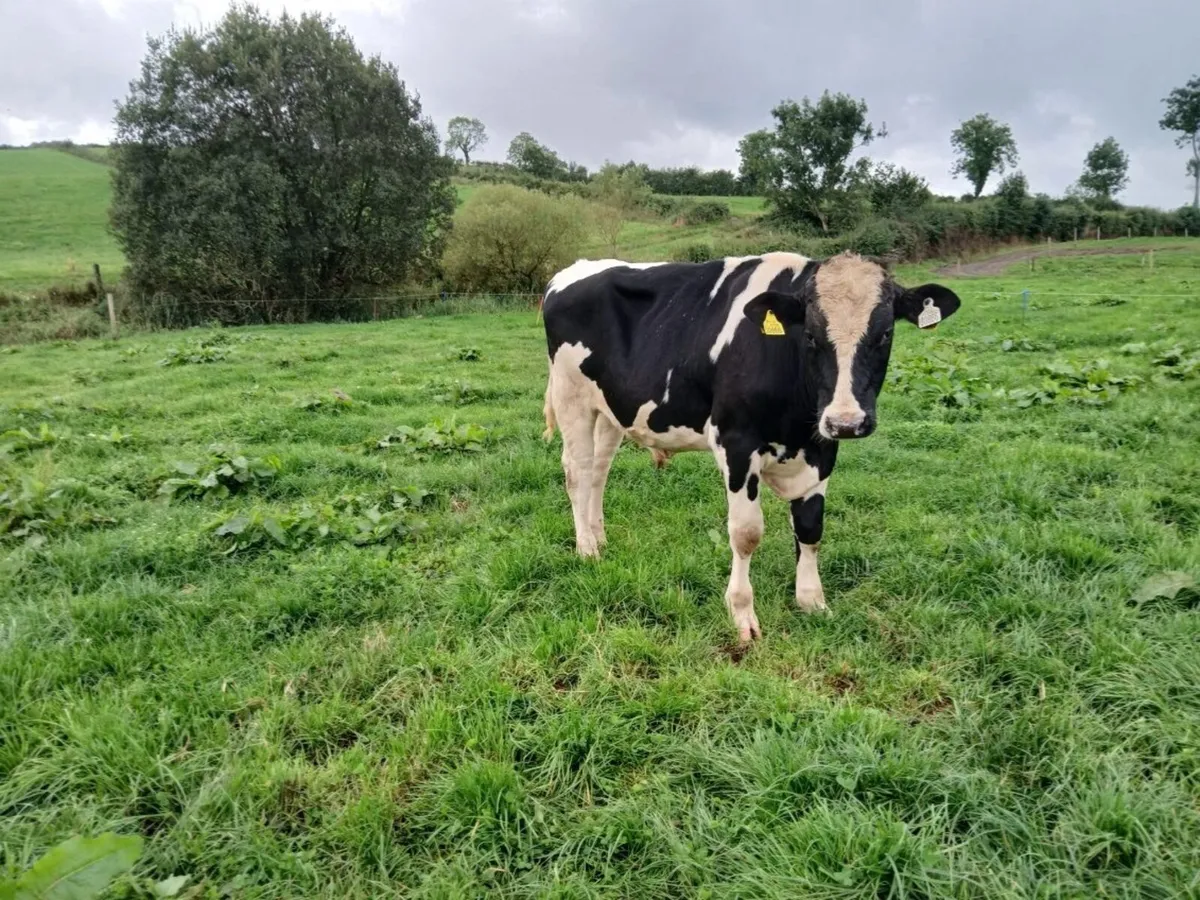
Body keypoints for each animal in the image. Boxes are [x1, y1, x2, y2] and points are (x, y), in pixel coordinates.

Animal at [540, 250, 961, 642]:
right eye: (811, 336)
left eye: (885, 334)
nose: (847, 422)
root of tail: (576, 268)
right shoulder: (737, 443)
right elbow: (746, 533)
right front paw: (742, 614)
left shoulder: (822, 449)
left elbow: (811, 528)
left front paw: (812, 601)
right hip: (571, 397)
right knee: (577, 472)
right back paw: (587, 549)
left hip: (611, 409)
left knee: (599, 472)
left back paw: (599, 537)